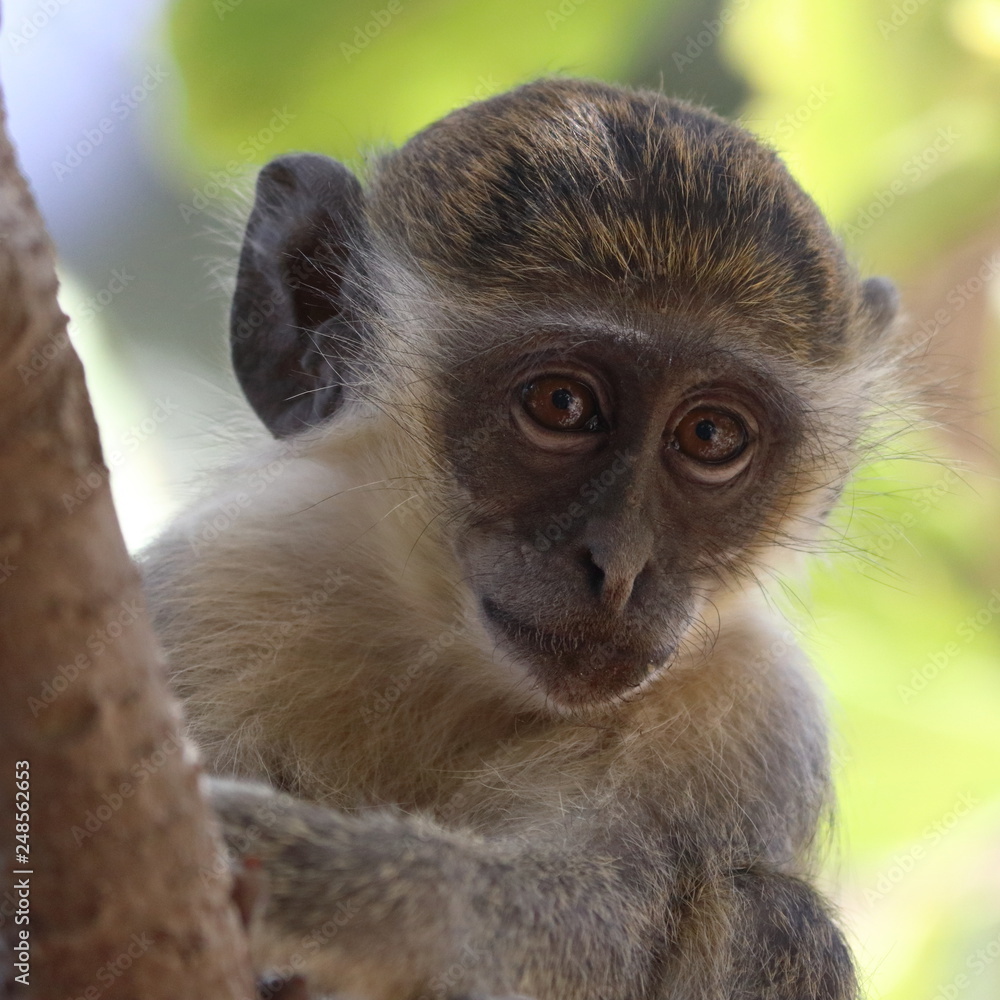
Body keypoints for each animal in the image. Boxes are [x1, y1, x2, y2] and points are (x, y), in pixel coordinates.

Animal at [142, 77, 903, 999]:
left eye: (711, 434)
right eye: (562, 405)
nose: (621, 567)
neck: (450, 660)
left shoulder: (750, 706)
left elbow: (603, 924)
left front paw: (321, 874)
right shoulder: (211, 588)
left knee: (772, 913)